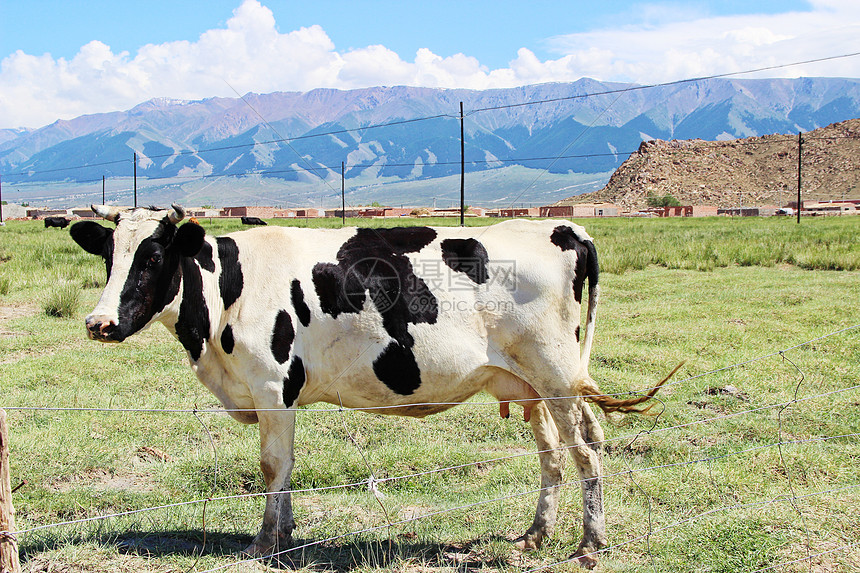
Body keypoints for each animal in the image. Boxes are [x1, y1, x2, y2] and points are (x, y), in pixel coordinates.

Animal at [70, 204, 676, 568]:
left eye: (152, 256)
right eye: (108, 256)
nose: (99, 324)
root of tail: (565, 228)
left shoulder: (271, 384)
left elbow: (272, 465)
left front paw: (264, 541)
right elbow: (287, 467)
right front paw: (286, 533)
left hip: (557, 376)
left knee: (587, 449)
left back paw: (591, 544)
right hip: (530, 384)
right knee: (553, 454)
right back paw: (534, 536)